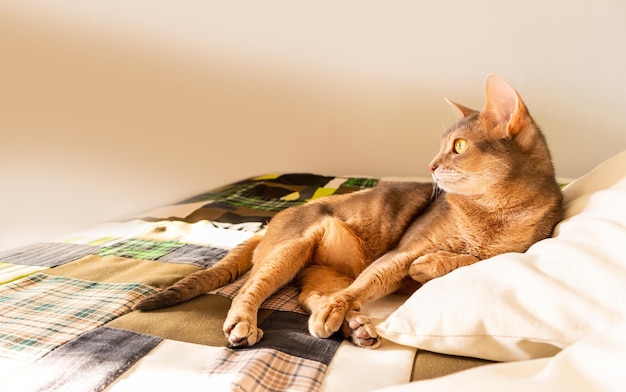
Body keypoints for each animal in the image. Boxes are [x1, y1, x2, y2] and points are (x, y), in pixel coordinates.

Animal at [134, 74, 564, 350]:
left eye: (458, 146)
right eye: (443, 146)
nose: (430, 165)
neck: (492, 212)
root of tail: (270, 224)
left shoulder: (516, 250)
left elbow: (476, 260)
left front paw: (433, 265)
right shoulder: (402, 252)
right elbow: (371, 281)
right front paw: (422, 266)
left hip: (320, 269)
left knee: (312, 297)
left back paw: (352, 325)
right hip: (294, 247)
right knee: (252, 287)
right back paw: (251, 323)